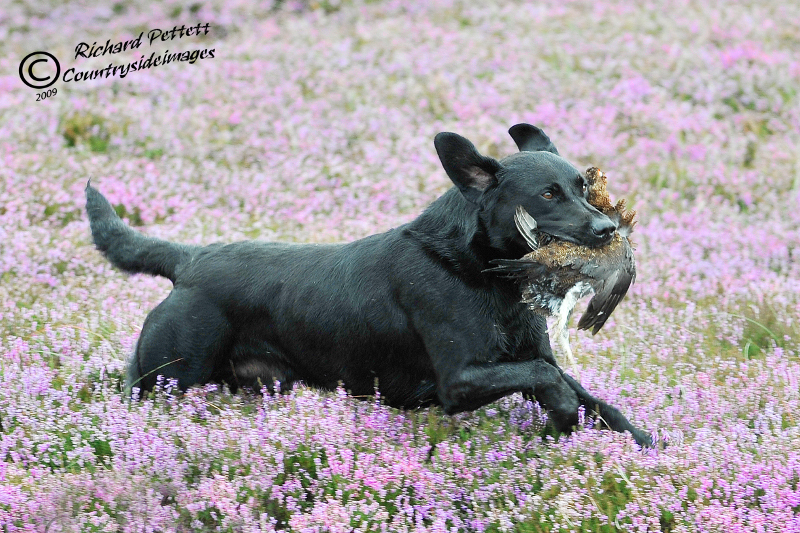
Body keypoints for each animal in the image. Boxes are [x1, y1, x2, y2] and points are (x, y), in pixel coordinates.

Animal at [84, 123, 652, 444]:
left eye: (584, 187)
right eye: (548, 195)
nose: (608, 230)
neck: (481, 275)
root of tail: (191, 259)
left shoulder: (526, 358)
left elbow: (589, 396)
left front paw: (644, 443)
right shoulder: (458, 380)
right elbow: (546, 378)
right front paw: (562, 419)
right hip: (163, 376)